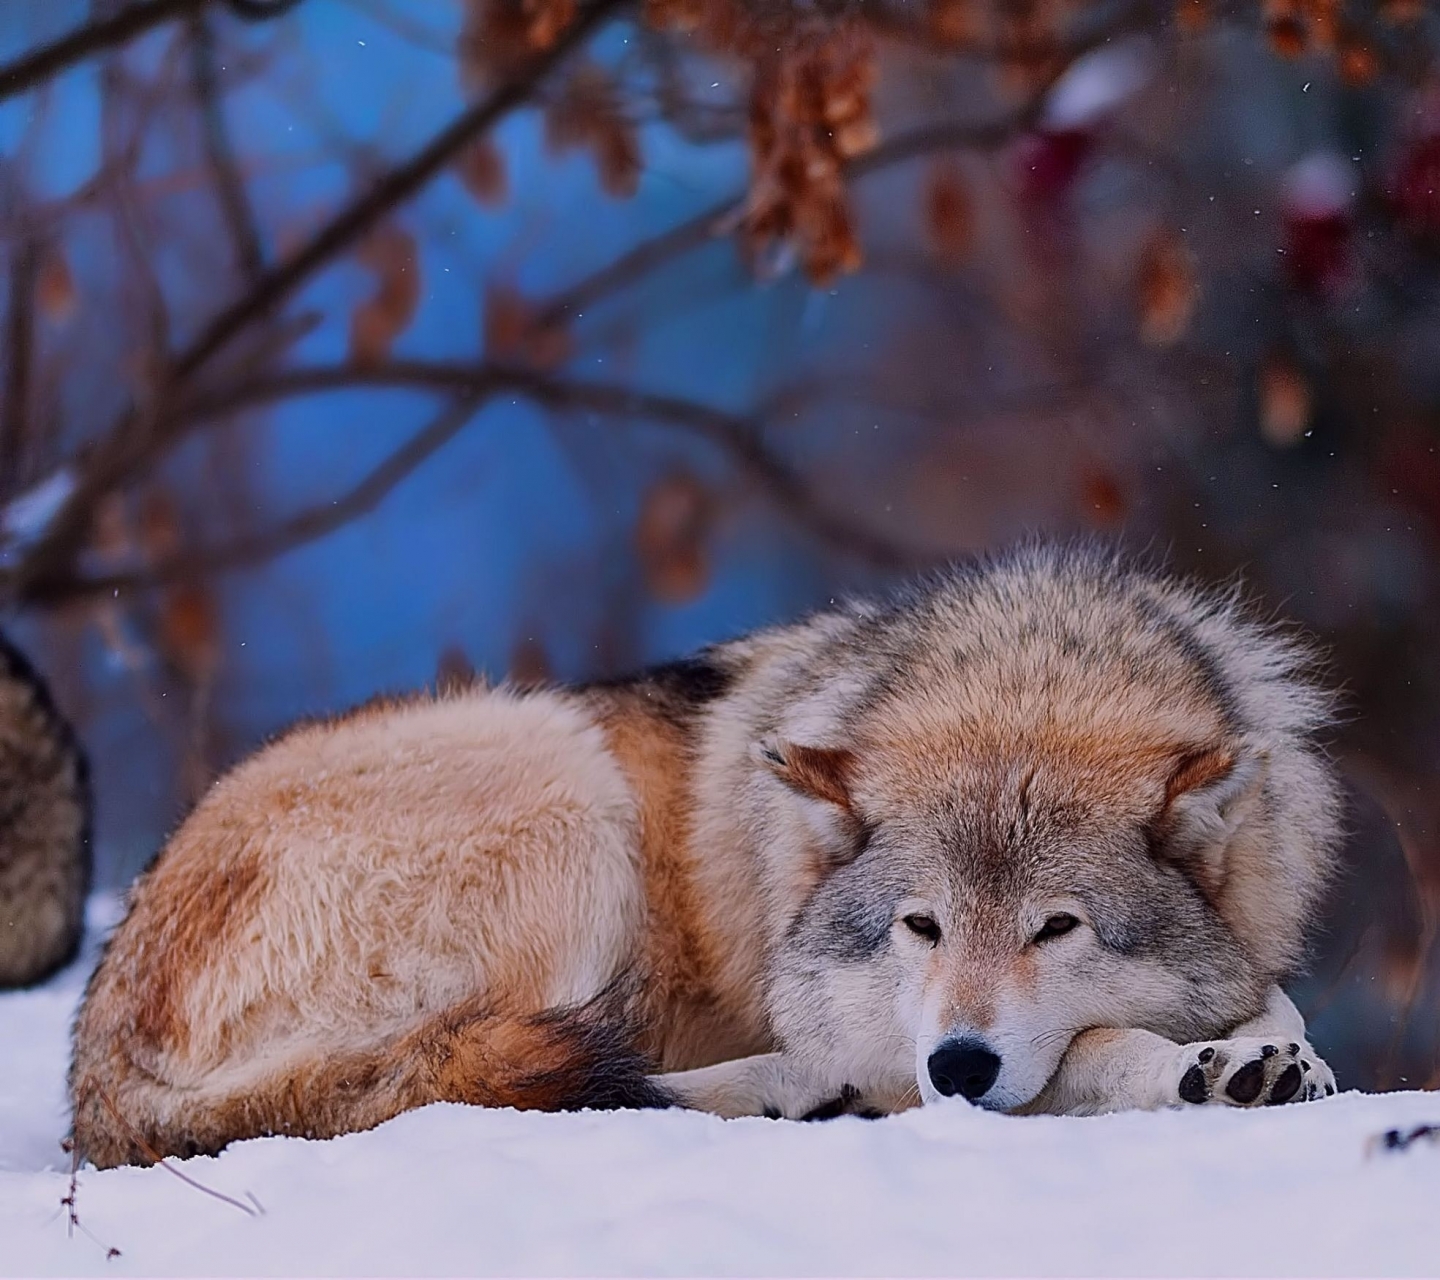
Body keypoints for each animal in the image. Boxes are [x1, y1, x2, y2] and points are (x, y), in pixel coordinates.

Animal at [73, 544, 1336, 1163]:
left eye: (1056, 926)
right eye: (919, 925)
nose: (960, 1063)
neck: (1026, 670)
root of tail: (97, 1054)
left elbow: (1273, 997)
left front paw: (1270, 1052)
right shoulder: (890, 1032)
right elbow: (1089, 1051)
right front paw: (1204, 1068)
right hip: (564, 788)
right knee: (511, 1085)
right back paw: (799, 1092)